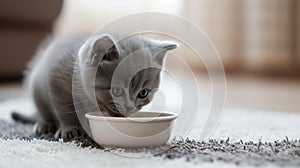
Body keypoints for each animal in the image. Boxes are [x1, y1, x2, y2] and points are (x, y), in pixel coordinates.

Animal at [12, 33, 178, 140]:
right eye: (117, 91)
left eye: (143, 93)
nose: (130, 107)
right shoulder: (56, 77)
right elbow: (64, 109)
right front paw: (70, 128)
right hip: (36, 85)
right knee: (43, 110)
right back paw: (45, 124)